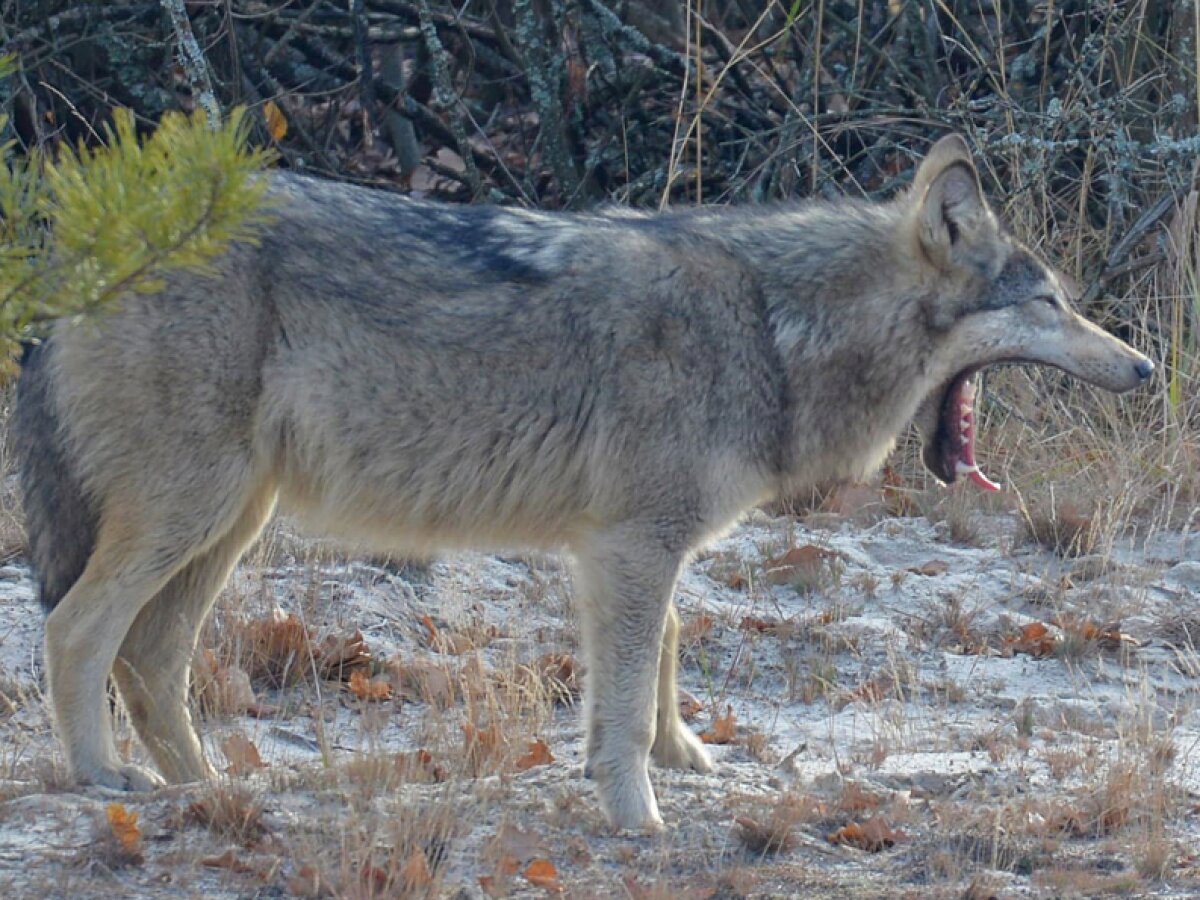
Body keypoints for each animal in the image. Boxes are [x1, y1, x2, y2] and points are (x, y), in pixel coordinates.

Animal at [9, 132, 1152, 830]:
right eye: (1049, 303)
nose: (1145, 369)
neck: (772, 327)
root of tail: (87, 243)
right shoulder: (632, 543)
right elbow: (627, 698)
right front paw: (640, 818)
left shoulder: (633, 547)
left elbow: (665, 657)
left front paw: (685, 758)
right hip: (192, 514)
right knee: (75, 629)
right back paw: (100, 780)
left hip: (229, 525)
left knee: (150, 658)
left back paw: (206, 790)